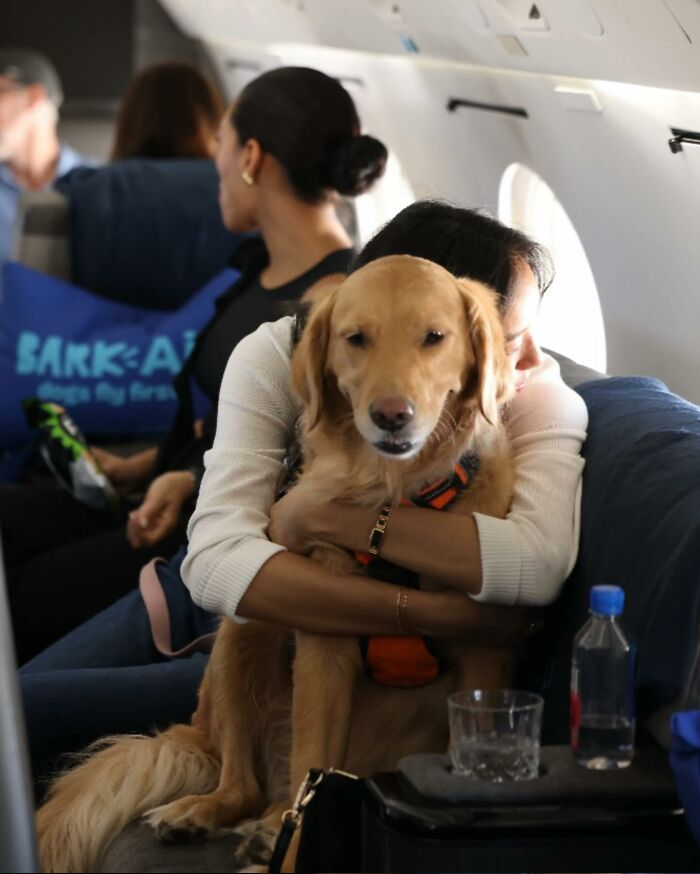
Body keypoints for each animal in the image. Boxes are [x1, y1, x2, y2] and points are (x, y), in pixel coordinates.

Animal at [37, 254, 520, 872]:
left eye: (435, 337)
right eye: (355, 338)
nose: (392, 415)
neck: (393, 498)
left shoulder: (485, 658)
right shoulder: (325, 644)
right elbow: (309, 775)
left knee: (280, 797)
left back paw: (266, 833)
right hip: (241, 632)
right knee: (252, 786)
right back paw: (208, 814)